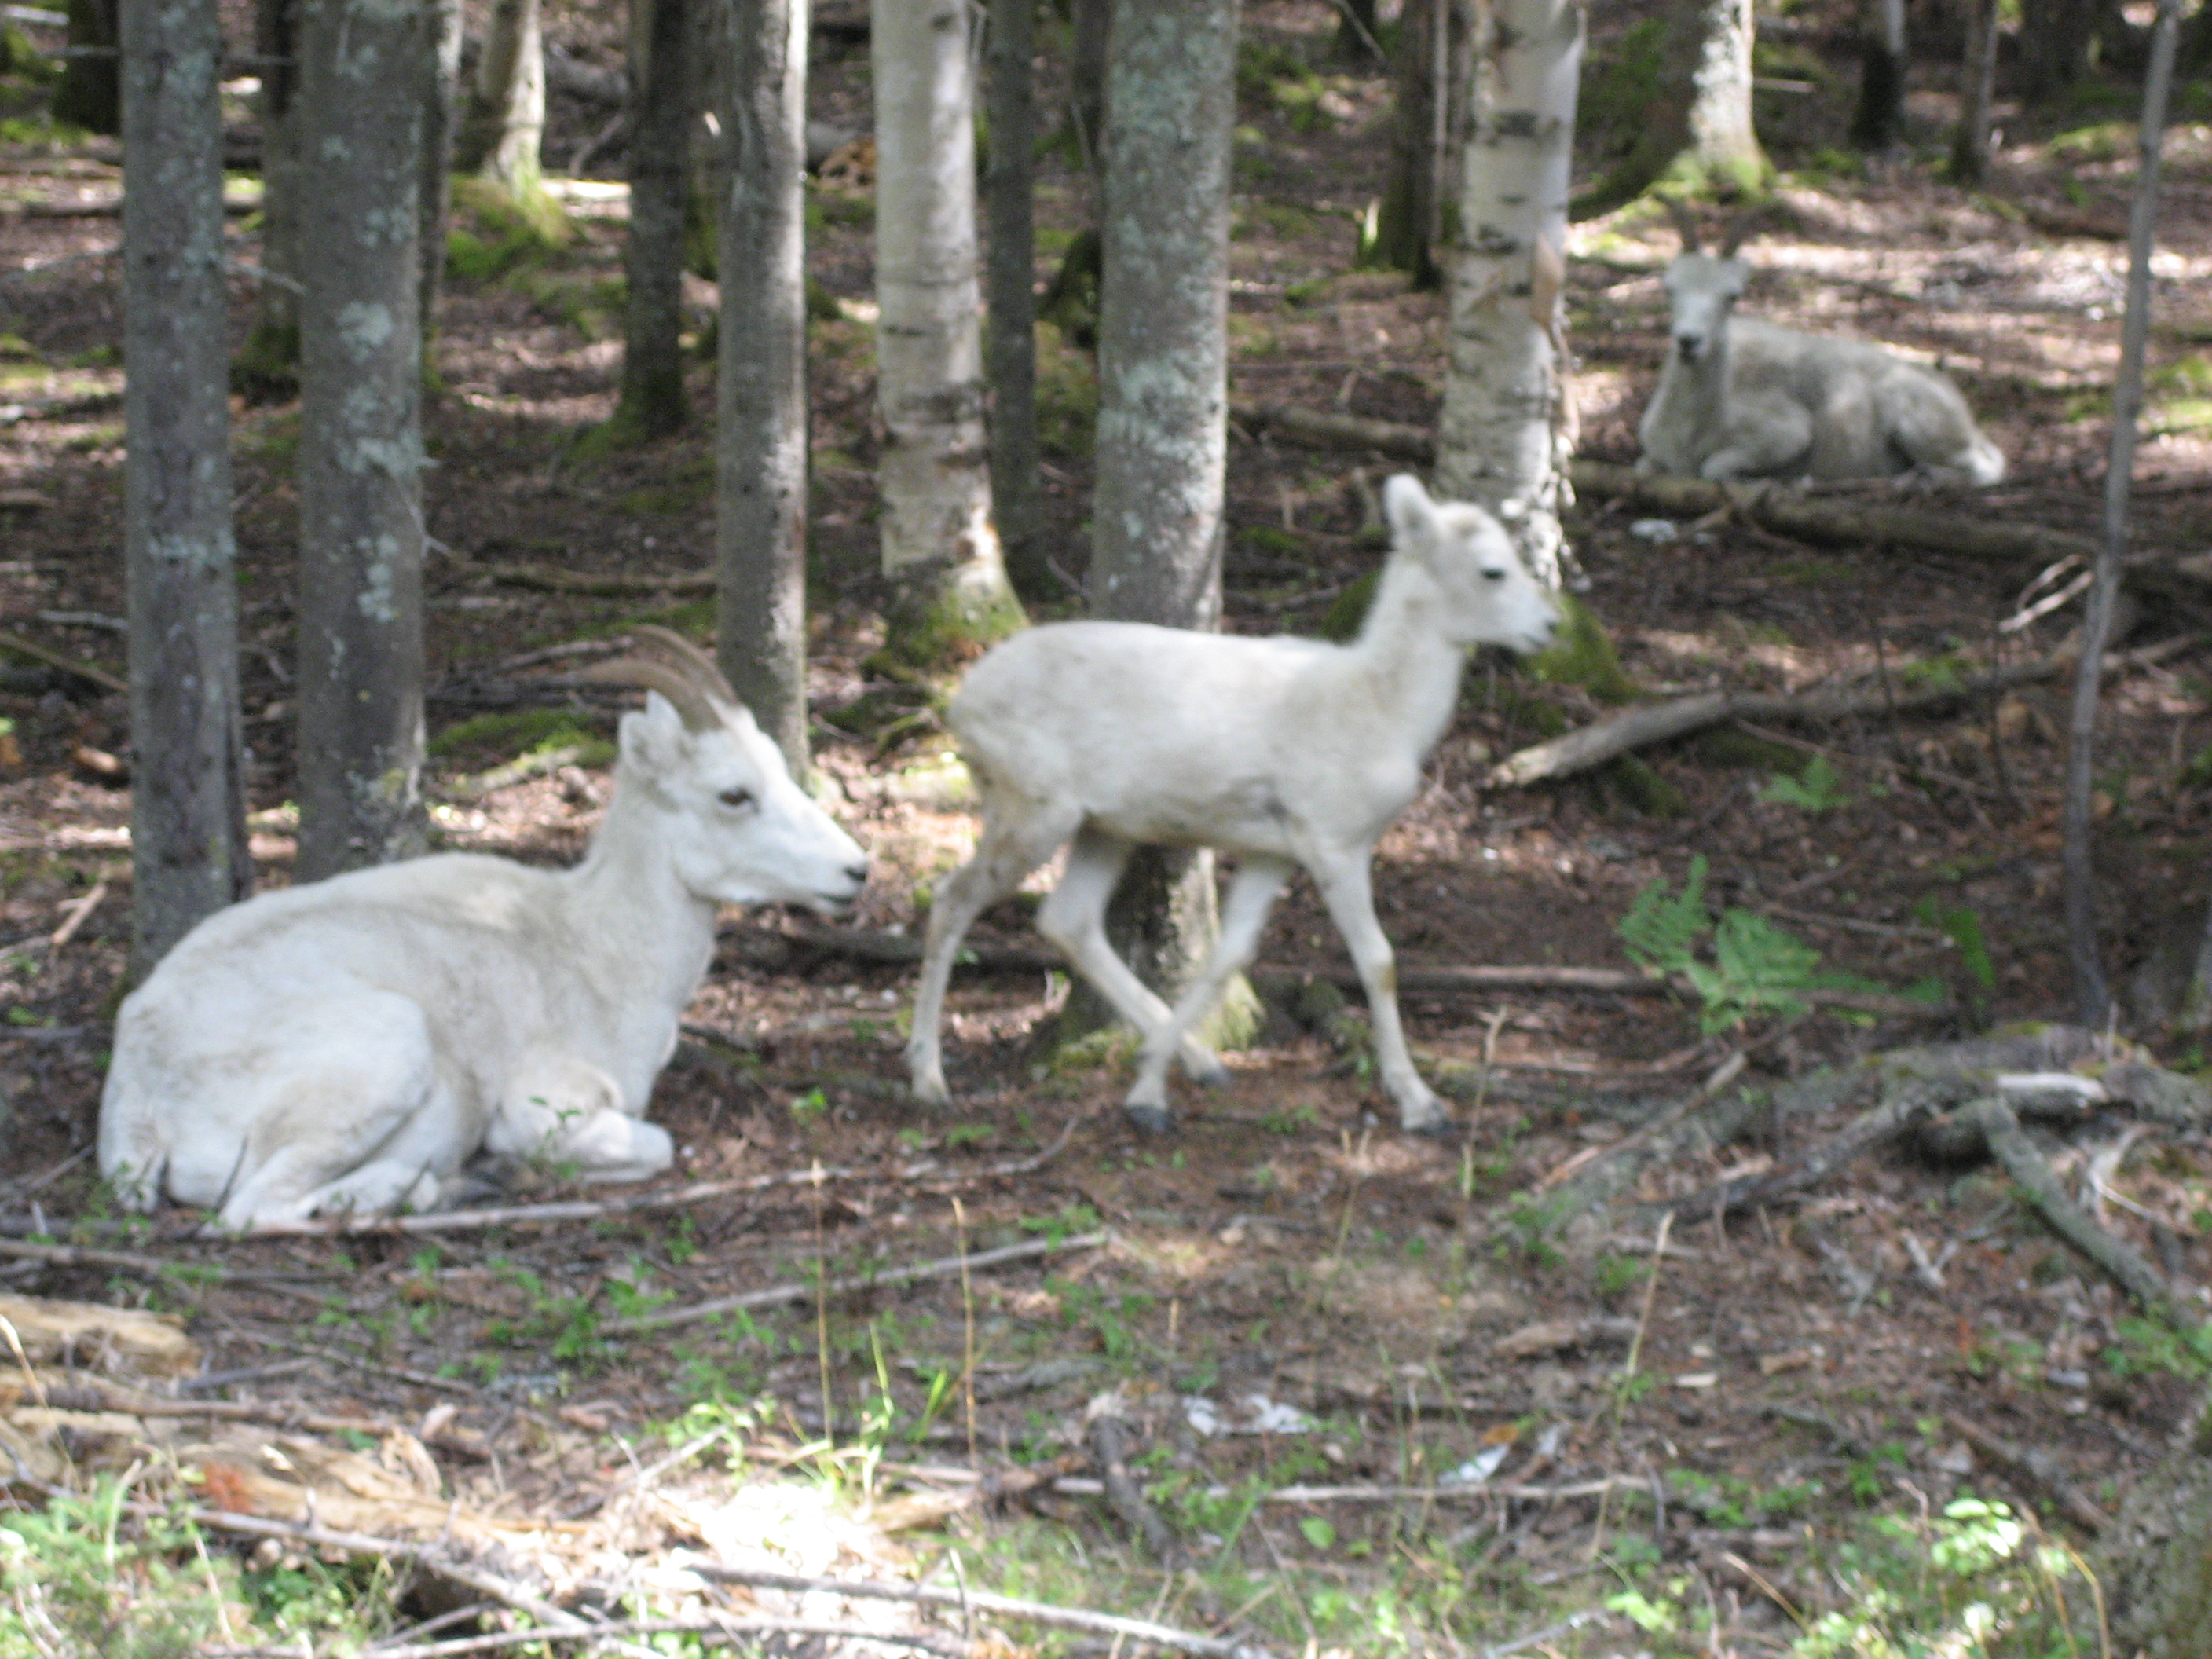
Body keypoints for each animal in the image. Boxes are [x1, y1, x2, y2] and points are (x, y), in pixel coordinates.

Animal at [99, 628, 869, 1231]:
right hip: (389, 1045)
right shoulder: (546, 1104)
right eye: (733, 794)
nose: (855, 870)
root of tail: (140, 1098)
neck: (601, 950)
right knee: (250, 1210)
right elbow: (654, 1145)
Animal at [906, 475, 1559, 1136]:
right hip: (1029, 801)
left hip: (1104, 824)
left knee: (1067, 918)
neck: (1383, 713)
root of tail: (958, 707)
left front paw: (1148, 1088)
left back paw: (1196, 1059)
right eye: (1493, 570)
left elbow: (1228, 957)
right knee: (953, 898)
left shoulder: (1273, 848)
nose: (1551, 626)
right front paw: (1420, 1102)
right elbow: (1379, 961)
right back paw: (928, 1076)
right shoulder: (1333, 835)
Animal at [1636, 208, 2006, 488]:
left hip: (1926, 427)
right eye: (1669, 288)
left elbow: (1713, 469)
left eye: (1732, 296)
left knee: (1985, 470)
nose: (1689, 341)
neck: (1694, 427)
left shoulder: (1784, 435)